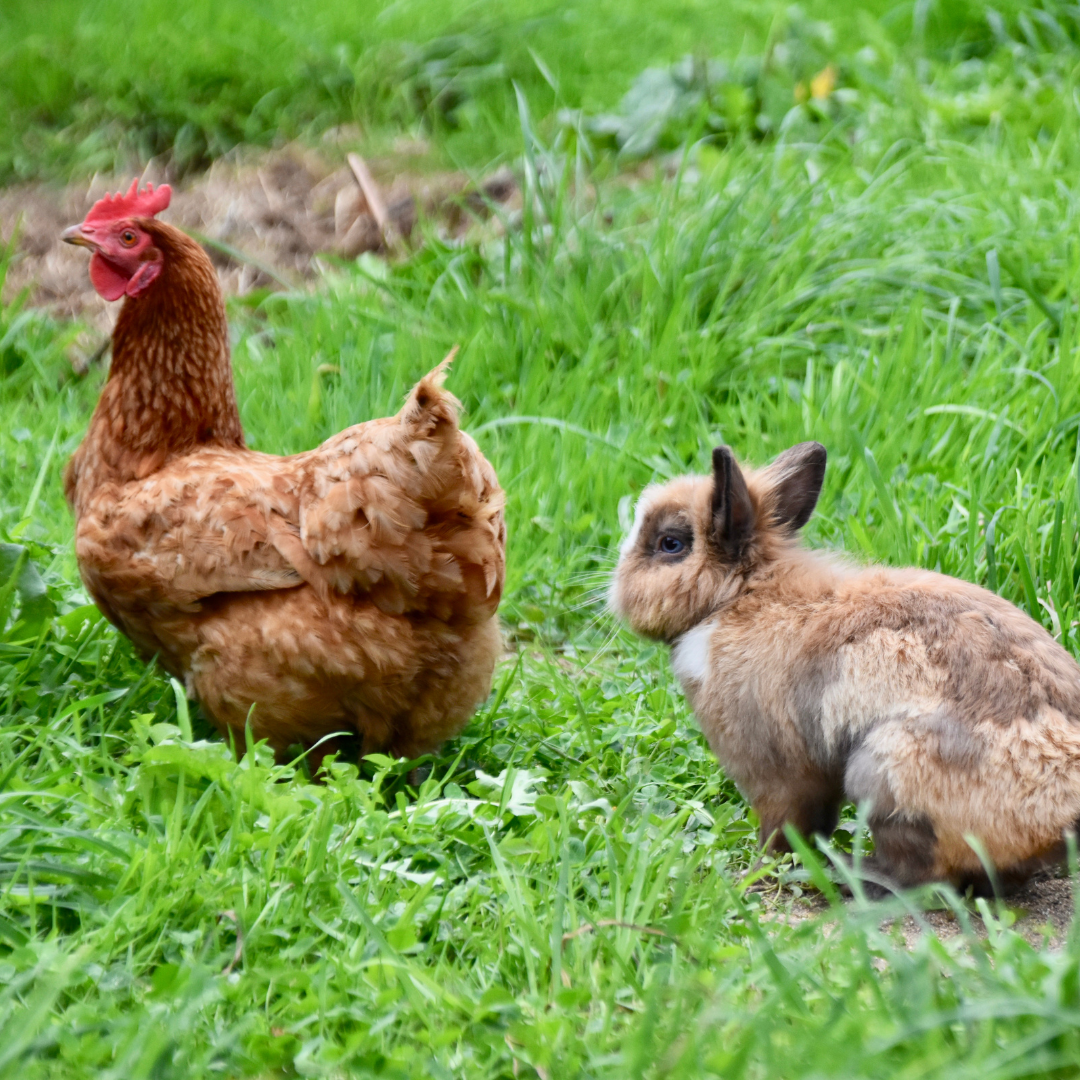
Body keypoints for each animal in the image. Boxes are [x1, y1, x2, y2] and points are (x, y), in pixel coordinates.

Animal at [610, 440, 1080, 893]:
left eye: (671, 544)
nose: (613, 592)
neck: (739, 596)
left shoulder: (775, 772)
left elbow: (782, 829)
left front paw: (754, 876)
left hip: (882, 772)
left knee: (924, 874)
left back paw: (856, 877)